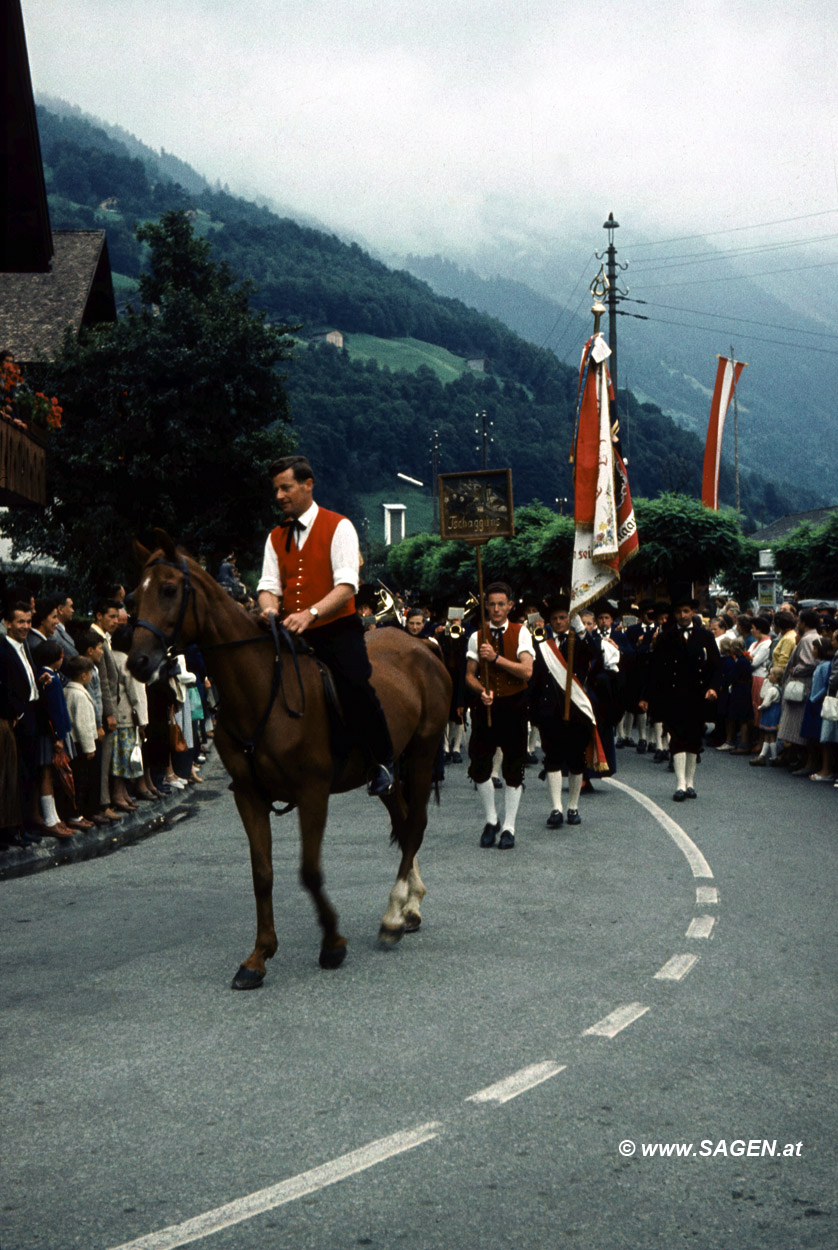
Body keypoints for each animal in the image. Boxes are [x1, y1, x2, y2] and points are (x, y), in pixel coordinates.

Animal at [128, 532, 452, 990]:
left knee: (415, 826)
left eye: (170, 589)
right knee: (406, 823)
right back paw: (409, 906)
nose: (138, 662)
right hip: (386, 773)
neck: (262, 688)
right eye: (135, 595)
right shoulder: (248, 795)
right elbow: (262, 873)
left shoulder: (312, 791)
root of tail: (419, 644)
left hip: (422, 756)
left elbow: (310, 870)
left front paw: (332, 942)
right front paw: (259, 956)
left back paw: (393, 915)